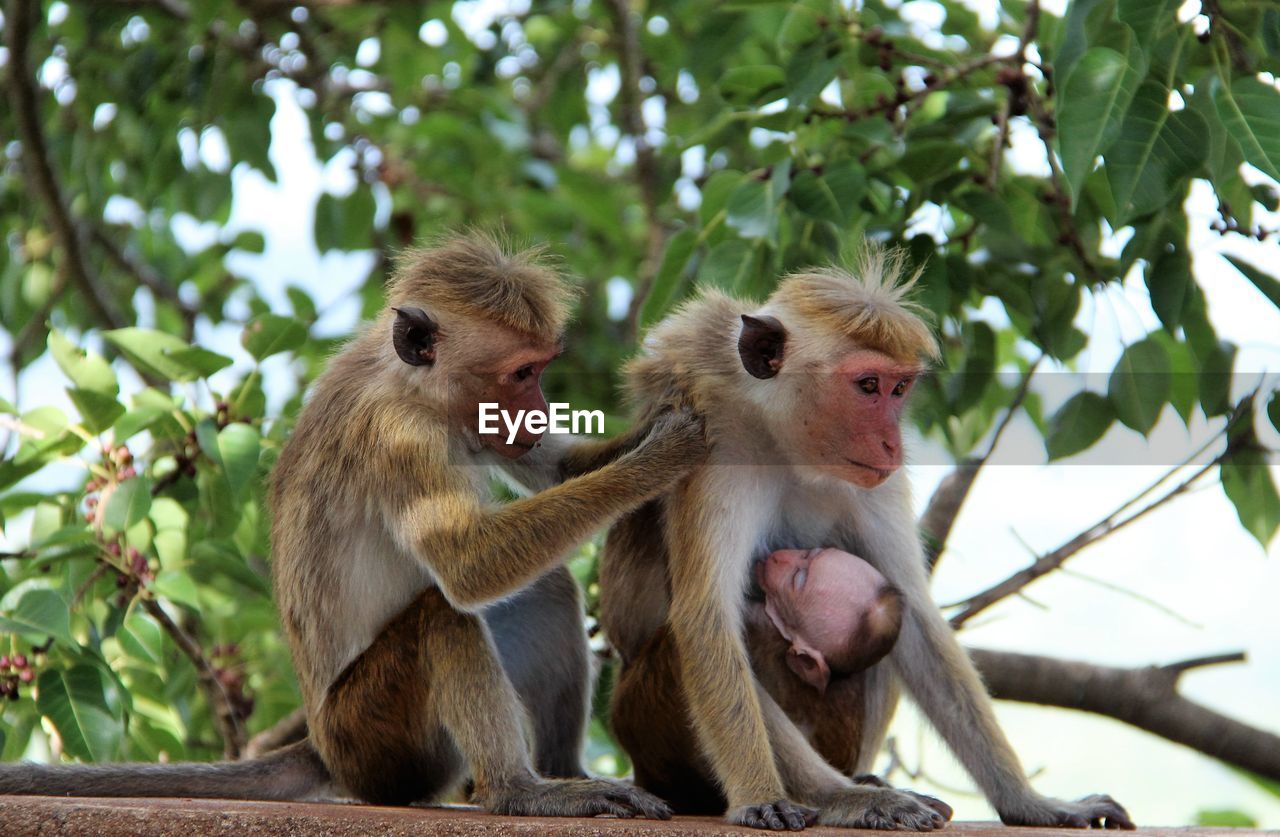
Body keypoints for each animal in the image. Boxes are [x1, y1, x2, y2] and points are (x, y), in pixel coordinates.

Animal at [0, 232, 711, 824]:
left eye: (539, 370)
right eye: (521, 372)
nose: (536, 411)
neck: (410, 387)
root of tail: (321, 744)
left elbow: (558, 469)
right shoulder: (402, 438)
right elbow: (467, 566)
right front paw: (665, 454)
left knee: (544, 586)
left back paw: (565, 773)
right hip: (374, 739)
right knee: (442, 616)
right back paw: (519, 791)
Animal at [596, 247, 1131, 834]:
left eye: (899, 388)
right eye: (867, 385)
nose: (893, 443)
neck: (783, 444)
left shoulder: (878, 484)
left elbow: (916, 618)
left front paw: (1032, 803)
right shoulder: (713, 449)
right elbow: (704, 617)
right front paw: (792, 796)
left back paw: (867, 777)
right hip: (642, 724)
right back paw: (842, 790)